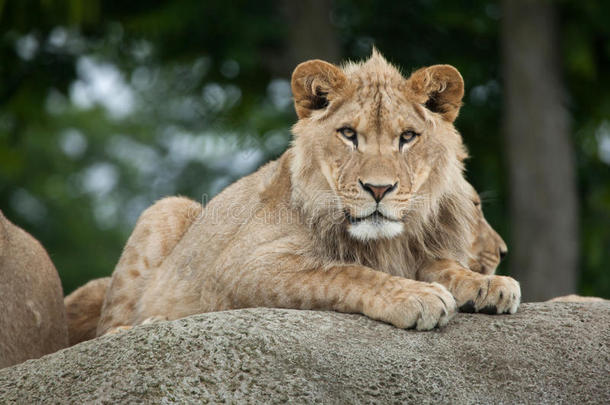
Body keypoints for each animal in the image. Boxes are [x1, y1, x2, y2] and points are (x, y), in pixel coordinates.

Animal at [94, 51, 516, 334]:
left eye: (408, 137)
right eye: (348, 134)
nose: (378, 189)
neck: (387, 241)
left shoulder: (418, 250)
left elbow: (445, 266)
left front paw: (488, 285)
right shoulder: (240, 267)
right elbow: (345, 273)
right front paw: (415, 296)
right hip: (165, 210)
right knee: (108, 329)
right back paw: (145, 323)